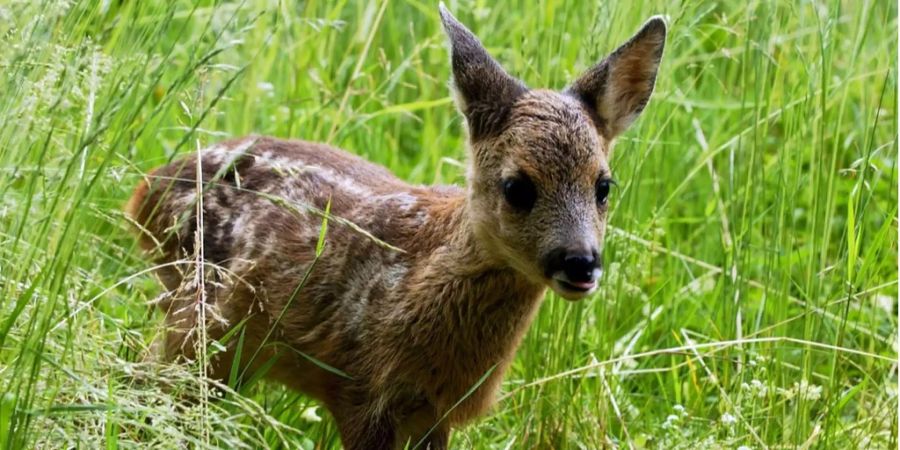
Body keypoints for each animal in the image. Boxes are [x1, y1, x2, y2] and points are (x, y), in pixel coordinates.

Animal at [125, 5, 660, 448]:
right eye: (517, 187)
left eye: (604, 186)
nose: (581, 261)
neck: (424, 270)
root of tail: (145, 192)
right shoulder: (362, 390)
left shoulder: (433, 412)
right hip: (199, 319)